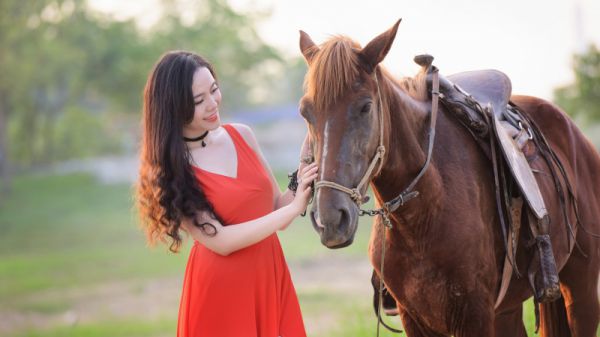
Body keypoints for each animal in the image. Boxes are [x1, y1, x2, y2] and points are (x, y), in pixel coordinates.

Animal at [298, 19, 600, 334]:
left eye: (366, 107)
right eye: (306, 112)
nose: (331, 219)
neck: (424, 212)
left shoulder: (475, 317)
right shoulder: (414, 318)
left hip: (581, 291)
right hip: (509, 311)